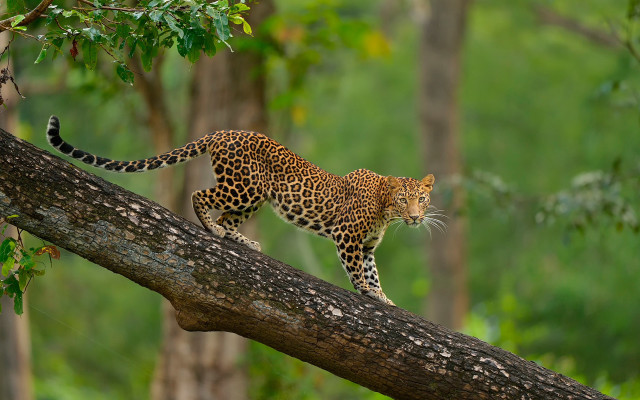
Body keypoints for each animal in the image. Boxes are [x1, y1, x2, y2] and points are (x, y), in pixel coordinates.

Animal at [45, 115, 440, 305]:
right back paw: (212, 229)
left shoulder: (367, 246)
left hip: (255, 197)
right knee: (200, 196)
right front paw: (369, 293)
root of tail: (222, 132)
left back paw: (243, 242)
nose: (415, 217)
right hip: (243, 186)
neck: (385, 210)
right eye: (403, 199)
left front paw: (384, 297)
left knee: (225, 215)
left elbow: (372, 271)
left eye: (421, 199)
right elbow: (358, 272)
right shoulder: (347, 237)